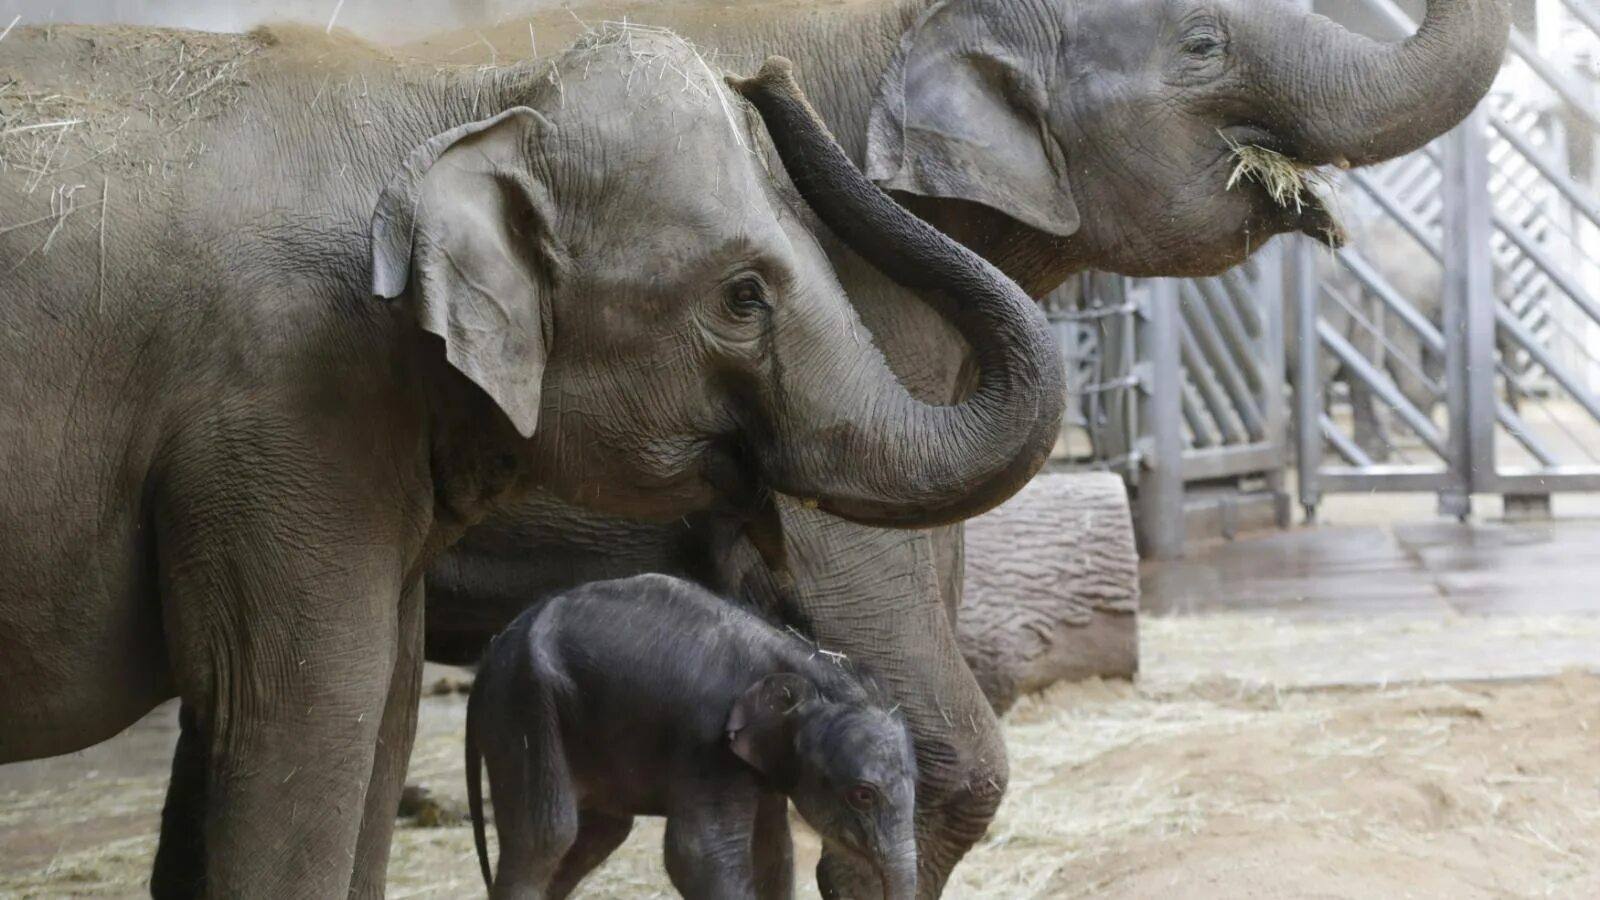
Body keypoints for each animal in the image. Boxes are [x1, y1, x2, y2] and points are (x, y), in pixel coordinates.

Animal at [467, 566, 915, 896]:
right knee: (548, 836)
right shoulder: (707, 741)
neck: (804, 664)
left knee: (598, 834)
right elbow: (700, 853)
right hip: (525, 704)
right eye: (863, 795)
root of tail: (494, 647)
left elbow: (773, 852)